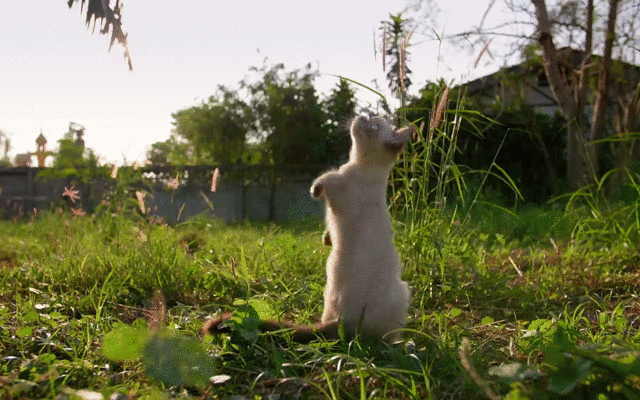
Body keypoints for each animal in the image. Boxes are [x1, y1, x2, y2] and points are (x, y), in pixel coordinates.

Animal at [205, 115, 416, 344]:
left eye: (374, 124)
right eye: (370, 119)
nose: (361, 116)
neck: (362, 165)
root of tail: (341, 323)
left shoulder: (336, 183)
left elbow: (323, 179)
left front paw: (314, 192)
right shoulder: (335, 199)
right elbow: (328, 225)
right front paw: (326, 239)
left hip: (402, 292)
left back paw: (402, 344)